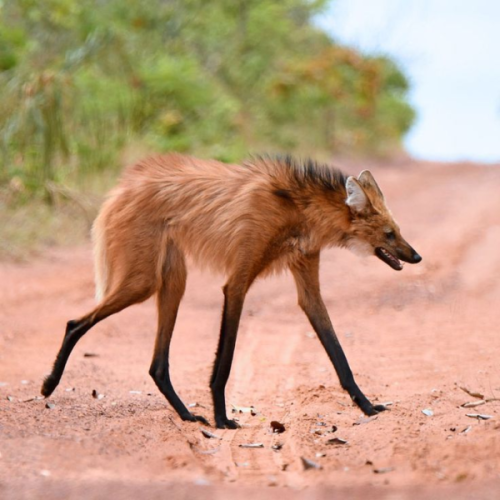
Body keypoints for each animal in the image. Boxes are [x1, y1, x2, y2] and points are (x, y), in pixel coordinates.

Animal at [41, 154, 422, 428]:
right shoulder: (237, 282)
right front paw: (223, 419)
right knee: (75, 323)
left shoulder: (306, 281)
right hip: (142, 282)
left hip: (172, 282)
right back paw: (48, 385)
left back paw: (187, 415)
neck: (298, 210)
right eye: (389, 234)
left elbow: (339, 354)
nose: (416, 256)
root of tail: (121, 188)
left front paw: (368, 406)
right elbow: (224, 361)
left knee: (157, 365)